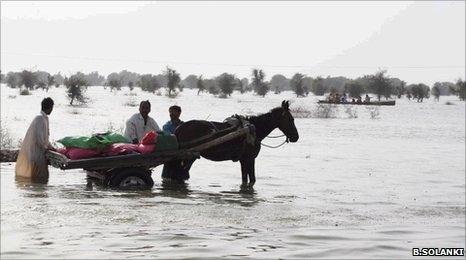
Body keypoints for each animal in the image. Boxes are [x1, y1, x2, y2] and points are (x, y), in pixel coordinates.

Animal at [164, 99, 300, 187]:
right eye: (290, 119)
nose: (296, 137)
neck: (253, 129)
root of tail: (179, 128)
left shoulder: (243, 160)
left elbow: (245, 179)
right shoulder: (249, 158)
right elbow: (252, 180)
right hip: (189, 157)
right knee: (179, 175)